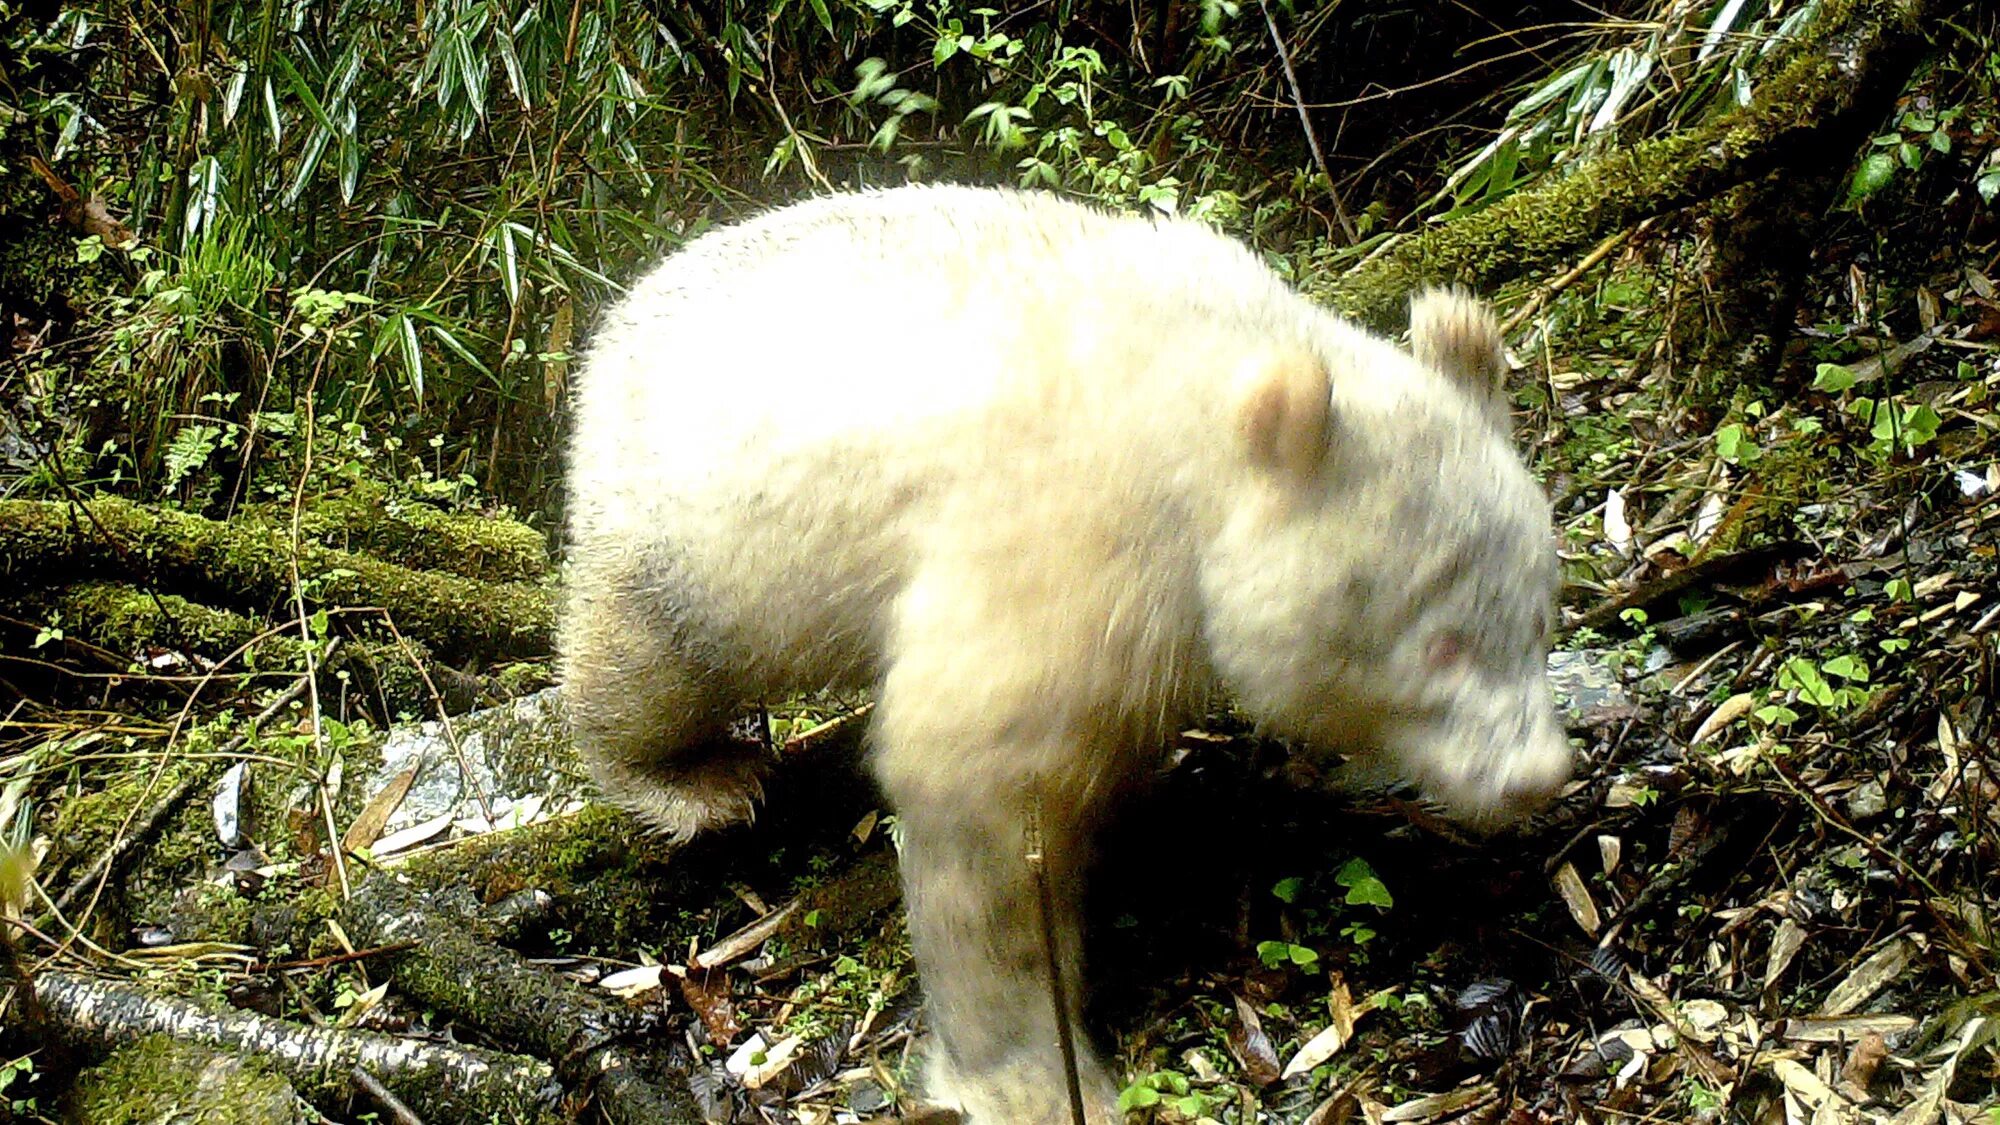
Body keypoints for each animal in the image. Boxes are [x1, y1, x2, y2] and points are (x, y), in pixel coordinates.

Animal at [556, 186, 1568, 1120]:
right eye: (1440, 644)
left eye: (1541, 614)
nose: (1538, 774)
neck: (1203, 401)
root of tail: (617, 319)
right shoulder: (1069, 533)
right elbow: (978, 784)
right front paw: (1029, 1073)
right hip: (685, 528)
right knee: (646, 663)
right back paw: (694, 780)